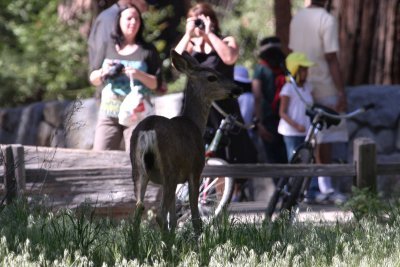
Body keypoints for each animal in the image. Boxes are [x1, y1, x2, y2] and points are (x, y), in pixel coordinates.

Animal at [130, 49, 241, 234]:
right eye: (212, 77)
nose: (237, 88)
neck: (194, 123)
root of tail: (148, 131)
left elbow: (174, 219)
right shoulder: (195, 170)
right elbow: (195, 217)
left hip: (138, 169)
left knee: (138, 209)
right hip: (169, 168)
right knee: (159, 216)